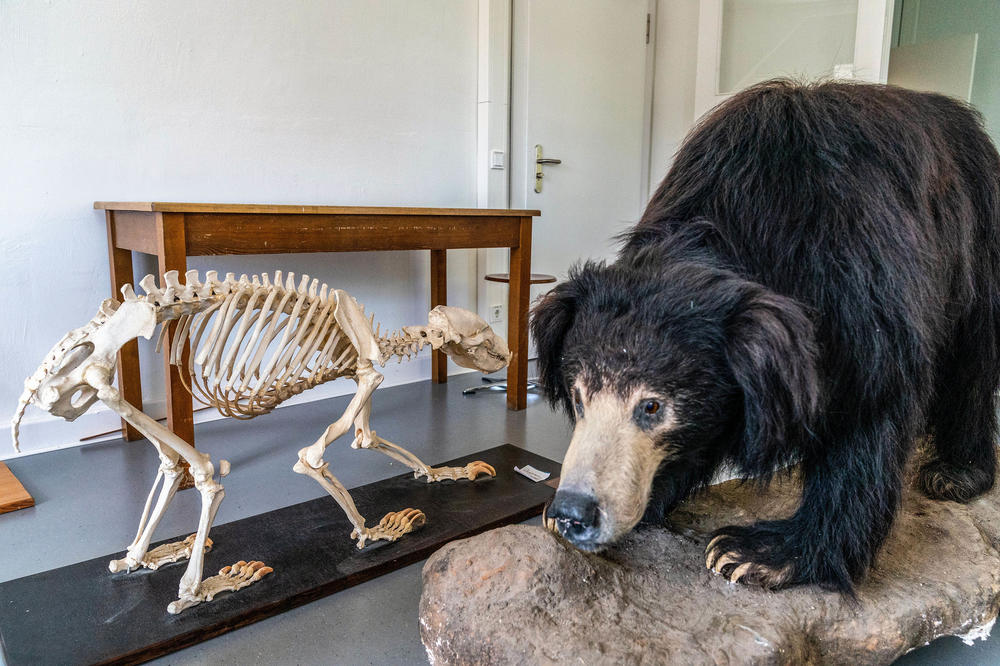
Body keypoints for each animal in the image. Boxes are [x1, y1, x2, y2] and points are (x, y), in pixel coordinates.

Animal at [531, 79, 1000, 594]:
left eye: (652, 407)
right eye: (578, 399)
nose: (573, 514)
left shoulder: (863, 285)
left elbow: (872, 409)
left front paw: (747, 554)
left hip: (978, 248)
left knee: (974, 361)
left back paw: (955, 475)